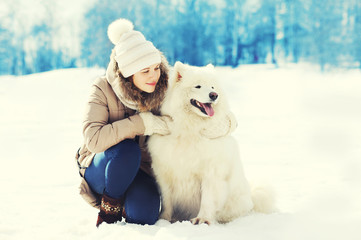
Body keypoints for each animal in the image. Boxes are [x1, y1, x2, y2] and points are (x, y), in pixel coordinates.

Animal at [148, 62, 274, 225]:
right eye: (198, 86)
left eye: (213, 87)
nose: (214, 95)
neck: (190, 130)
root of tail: (251, 198)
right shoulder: (165, 173)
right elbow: (167, 199)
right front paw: (164, 219)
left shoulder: (211, 173)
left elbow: (207, 199)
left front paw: (203, 219)